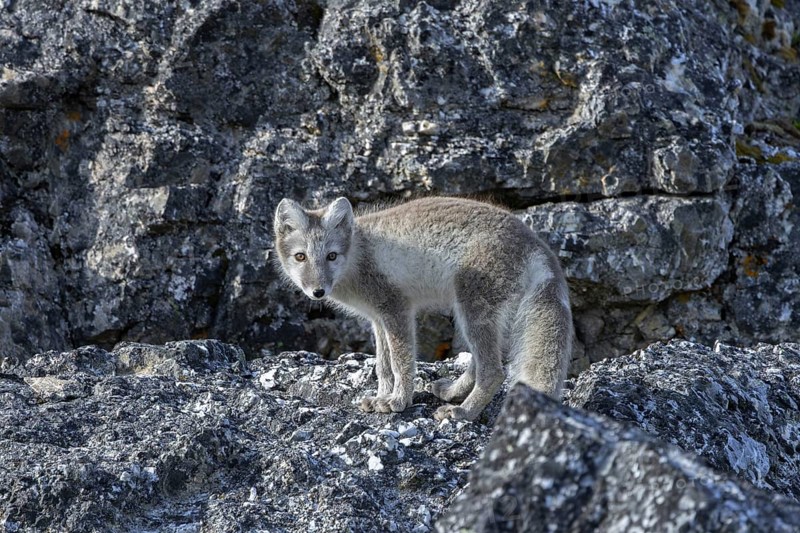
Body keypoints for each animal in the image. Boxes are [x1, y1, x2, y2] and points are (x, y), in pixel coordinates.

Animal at [273, 196, 573, 421]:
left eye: (331, 256)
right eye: (301, 257)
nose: (318, 291)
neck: (358, 254)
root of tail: (538, 244)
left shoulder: (397, 310)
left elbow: (401, 363)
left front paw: (398, 401)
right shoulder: (377, 319)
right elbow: (383, 366)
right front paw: (382, 396)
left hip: (471, 310)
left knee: (493, 372)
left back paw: (462, 412)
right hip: (478, 317)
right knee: (482, 363)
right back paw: (453, 392)